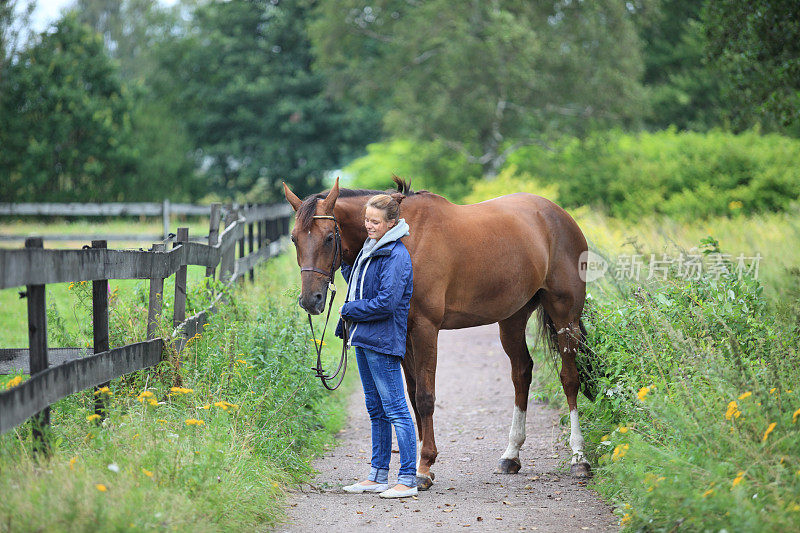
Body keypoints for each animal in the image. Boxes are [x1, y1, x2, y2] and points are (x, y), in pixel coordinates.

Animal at [282, 177, 592, 488]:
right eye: (295, 238)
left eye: (328, 238)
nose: (310, 300)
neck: (406, 237)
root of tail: (558, 215)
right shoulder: (403, 334)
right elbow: (412, 394)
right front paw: (422, 467)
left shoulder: (425, 329)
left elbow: (425, 397)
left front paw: (422, 469)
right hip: (512, 319)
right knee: (522, 373)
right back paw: (511, 456)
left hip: (565, 316)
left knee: (569, 379)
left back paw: (579, 458)